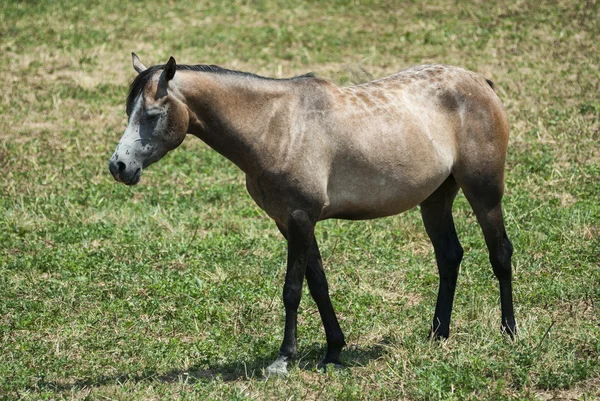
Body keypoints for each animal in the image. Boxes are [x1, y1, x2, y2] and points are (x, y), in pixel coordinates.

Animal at [109, 52, 516, 376]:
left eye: (153, 114)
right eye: (130, 111)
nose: (119, 166)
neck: (275, 127)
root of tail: (481, 83)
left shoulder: (300, 218)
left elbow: (292, 289)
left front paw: (283, 359)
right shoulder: (289, 222)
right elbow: (318, 284)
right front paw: (334, 350)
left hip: (484, 193)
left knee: (500, 254)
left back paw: (509, 332)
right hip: (435, 199)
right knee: (449, 257)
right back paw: (437, 334)